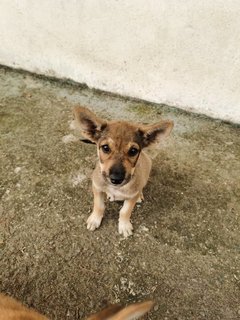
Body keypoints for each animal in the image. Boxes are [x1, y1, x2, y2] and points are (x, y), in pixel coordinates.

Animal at [74, 106, 173, 236]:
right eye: (105, 148)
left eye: (133, 151)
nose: (116, 179)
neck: (115, 188)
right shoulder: (97, 187)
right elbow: (99, 206)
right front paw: (95, 219)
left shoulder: (131, 197)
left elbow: (125, 211)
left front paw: (124, 225)